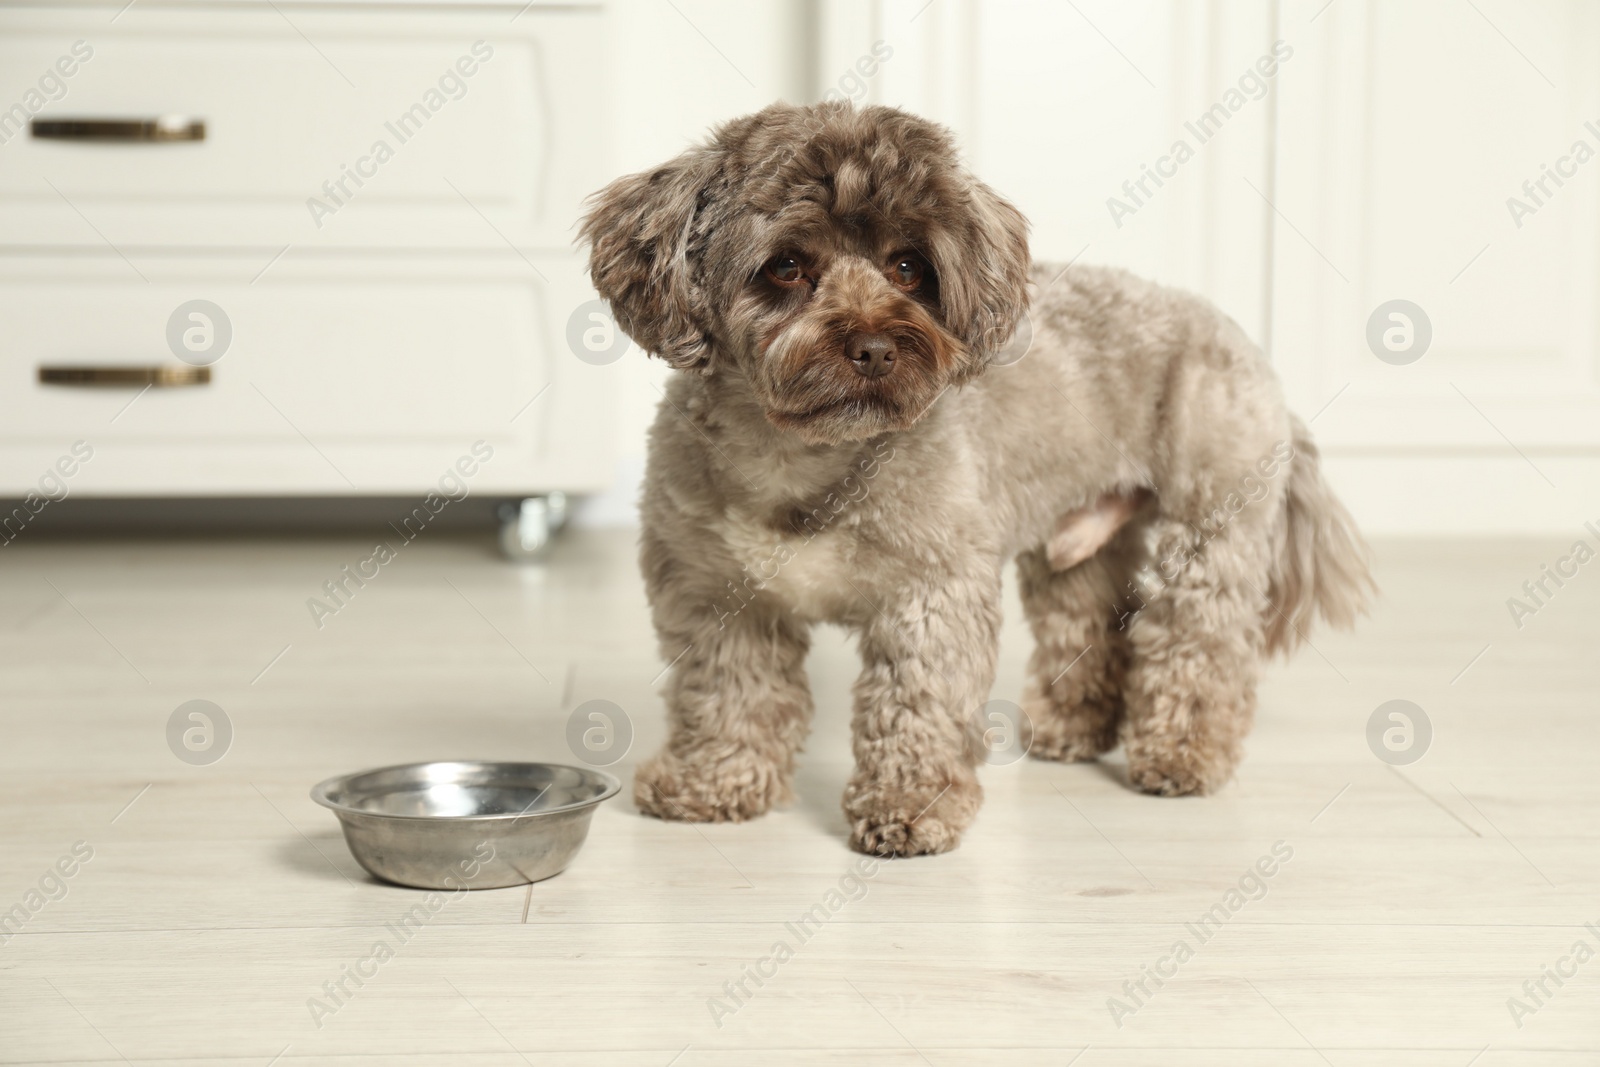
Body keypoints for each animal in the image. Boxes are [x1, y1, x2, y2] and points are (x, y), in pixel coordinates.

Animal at [582, 99, 1369, 857]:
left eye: (908, 267)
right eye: (786, 266)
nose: (876, 347)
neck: (803, 455)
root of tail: (1236, 333)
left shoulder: (931, 592)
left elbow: (916, 703)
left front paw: (909, 805)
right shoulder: (717, 597)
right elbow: (726, 695)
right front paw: (714, 781)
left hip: (1211, 525)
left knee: (1199, 641)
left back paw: (1184, 752)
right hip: (1072, 544)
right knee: (1090, 618)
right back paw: (1074, 727)